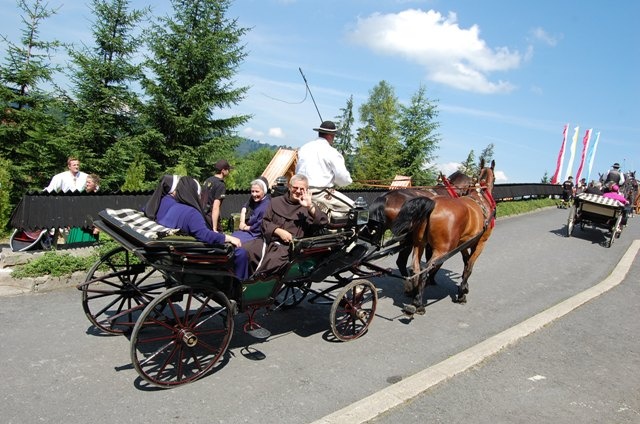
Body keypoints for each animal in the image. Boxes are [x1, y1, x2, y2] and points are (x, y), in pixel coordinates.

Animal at [390, 159, 500, 314]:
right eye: (495, 178)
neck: (481, 198)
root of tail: (432, 204)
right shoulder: (480, 243)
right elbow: (469, 266)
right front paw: (462, 294)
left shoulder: (463, 244)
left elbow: (466, 261)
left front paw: (464, 288)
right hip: (443, 249)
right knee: (426, 269)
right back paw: (418, 303)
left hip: (419, 244)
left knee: (415, 268)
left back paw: (414, 292)